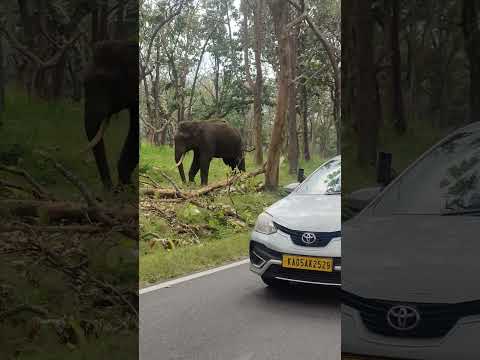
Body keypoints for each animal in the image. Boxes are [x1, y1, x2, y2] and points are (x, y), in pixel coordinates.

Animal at [82, 40, 138, 190]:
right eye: (84, 84)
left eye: (107, 83)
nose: (110, 187)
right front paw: (125, 186)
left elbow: (134, 130)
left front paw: (126, 185)